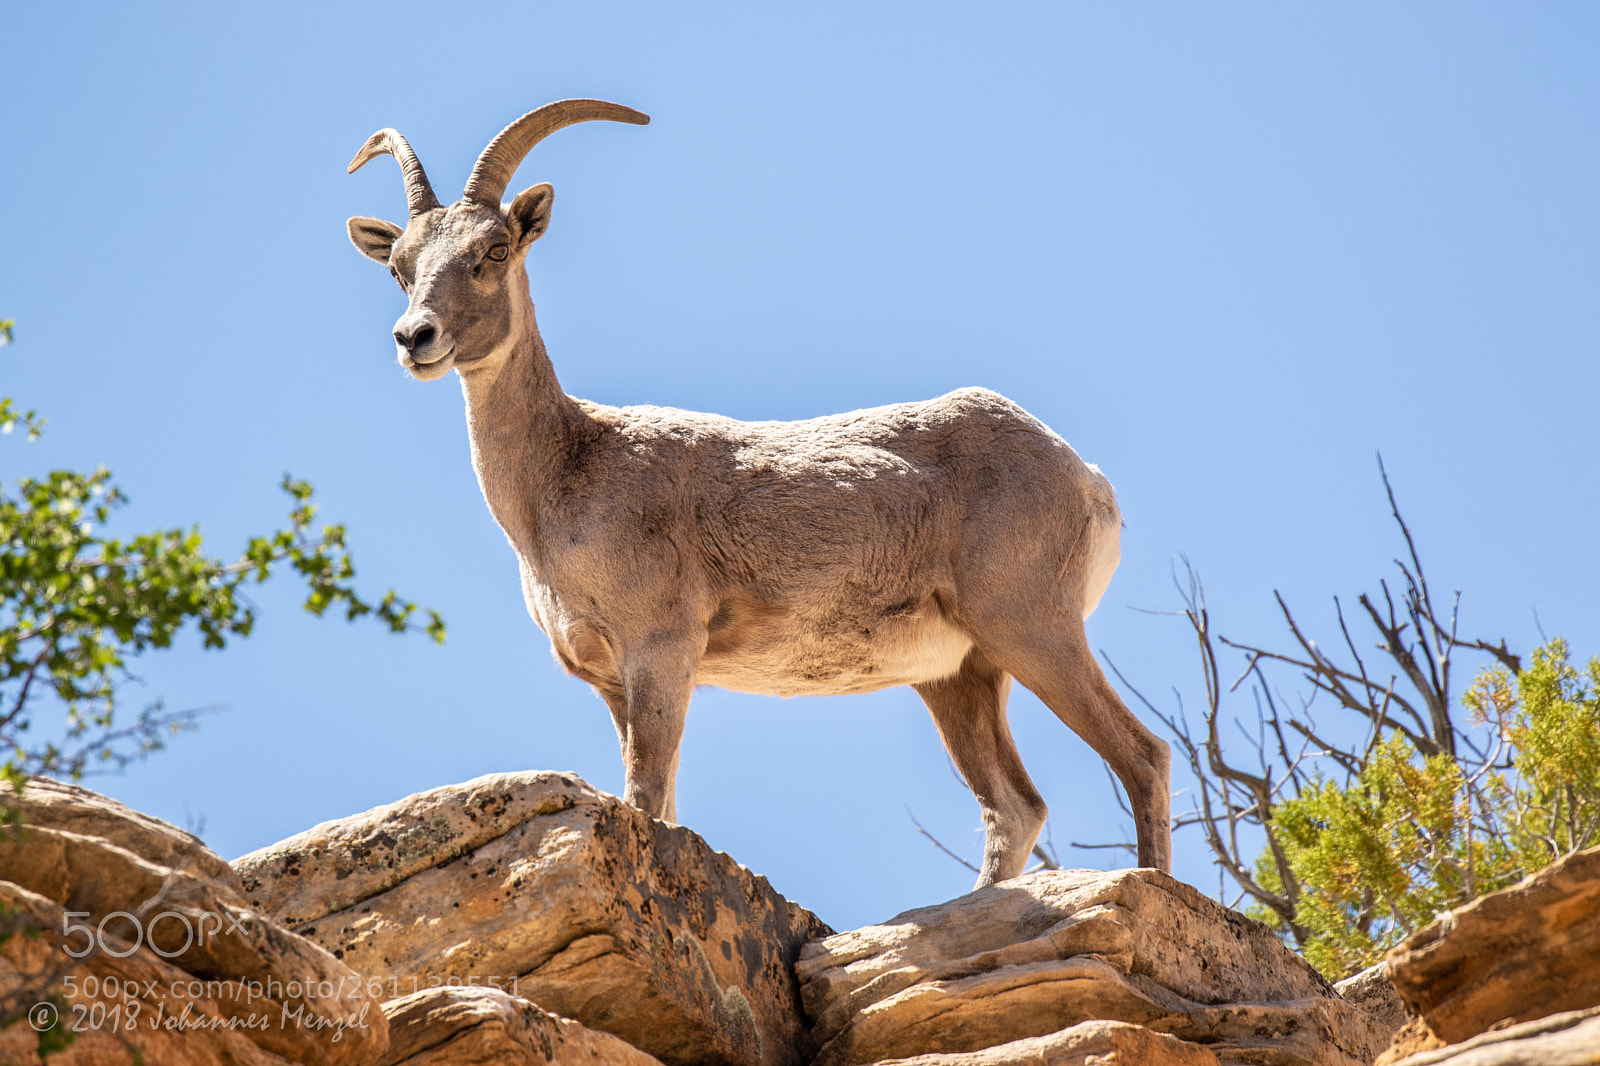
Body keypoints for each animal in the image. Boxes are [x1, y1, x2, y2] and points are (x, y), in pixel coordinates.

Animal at [346, 100, 1171, 884]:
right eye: (400, 267)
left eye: (493, 251)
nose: (415, 339)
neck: (561, 487)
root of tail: (1088, 480)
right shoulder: (613, 681)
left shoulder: (662, 652)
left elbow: (648, 795)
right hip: (960, 677)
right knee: (1015, 808)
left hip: (1032, 626)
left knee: (1142, 756)